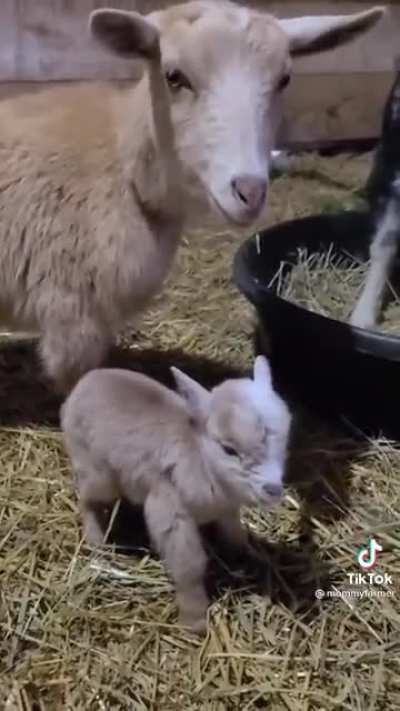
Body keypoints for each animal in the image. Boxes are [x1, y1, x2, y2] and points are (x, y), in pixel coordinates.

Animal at [61, 355, 292, 632]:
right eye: (229, 449)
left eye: (280, 435)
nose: (273, 489)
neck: (201, 457)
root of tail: (84, 382)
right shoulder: (170, 507)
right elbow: (189, 565)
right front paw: (194, 620)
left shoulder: (226, 508)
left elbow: (234, 533)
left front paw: (245, 556)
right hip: (95, 468)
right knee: (88, 500)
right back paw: (97, 542)